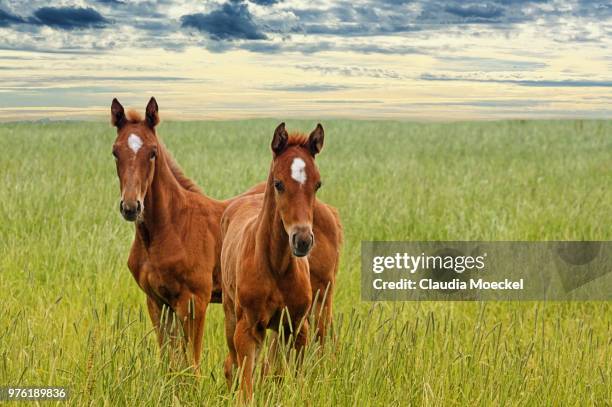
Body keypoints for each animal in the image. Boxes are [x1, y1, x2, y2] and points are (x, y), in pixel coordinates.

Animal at [220, 122, 338, 398]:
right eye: (278, 183)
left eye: (317, 184)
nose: (302, 240)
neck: (276, 265)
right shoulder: (247, 329)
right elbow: (247, 389)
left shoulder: (297, 327)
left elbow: (292, 379)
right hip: (231, 317)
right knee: (232, 365)